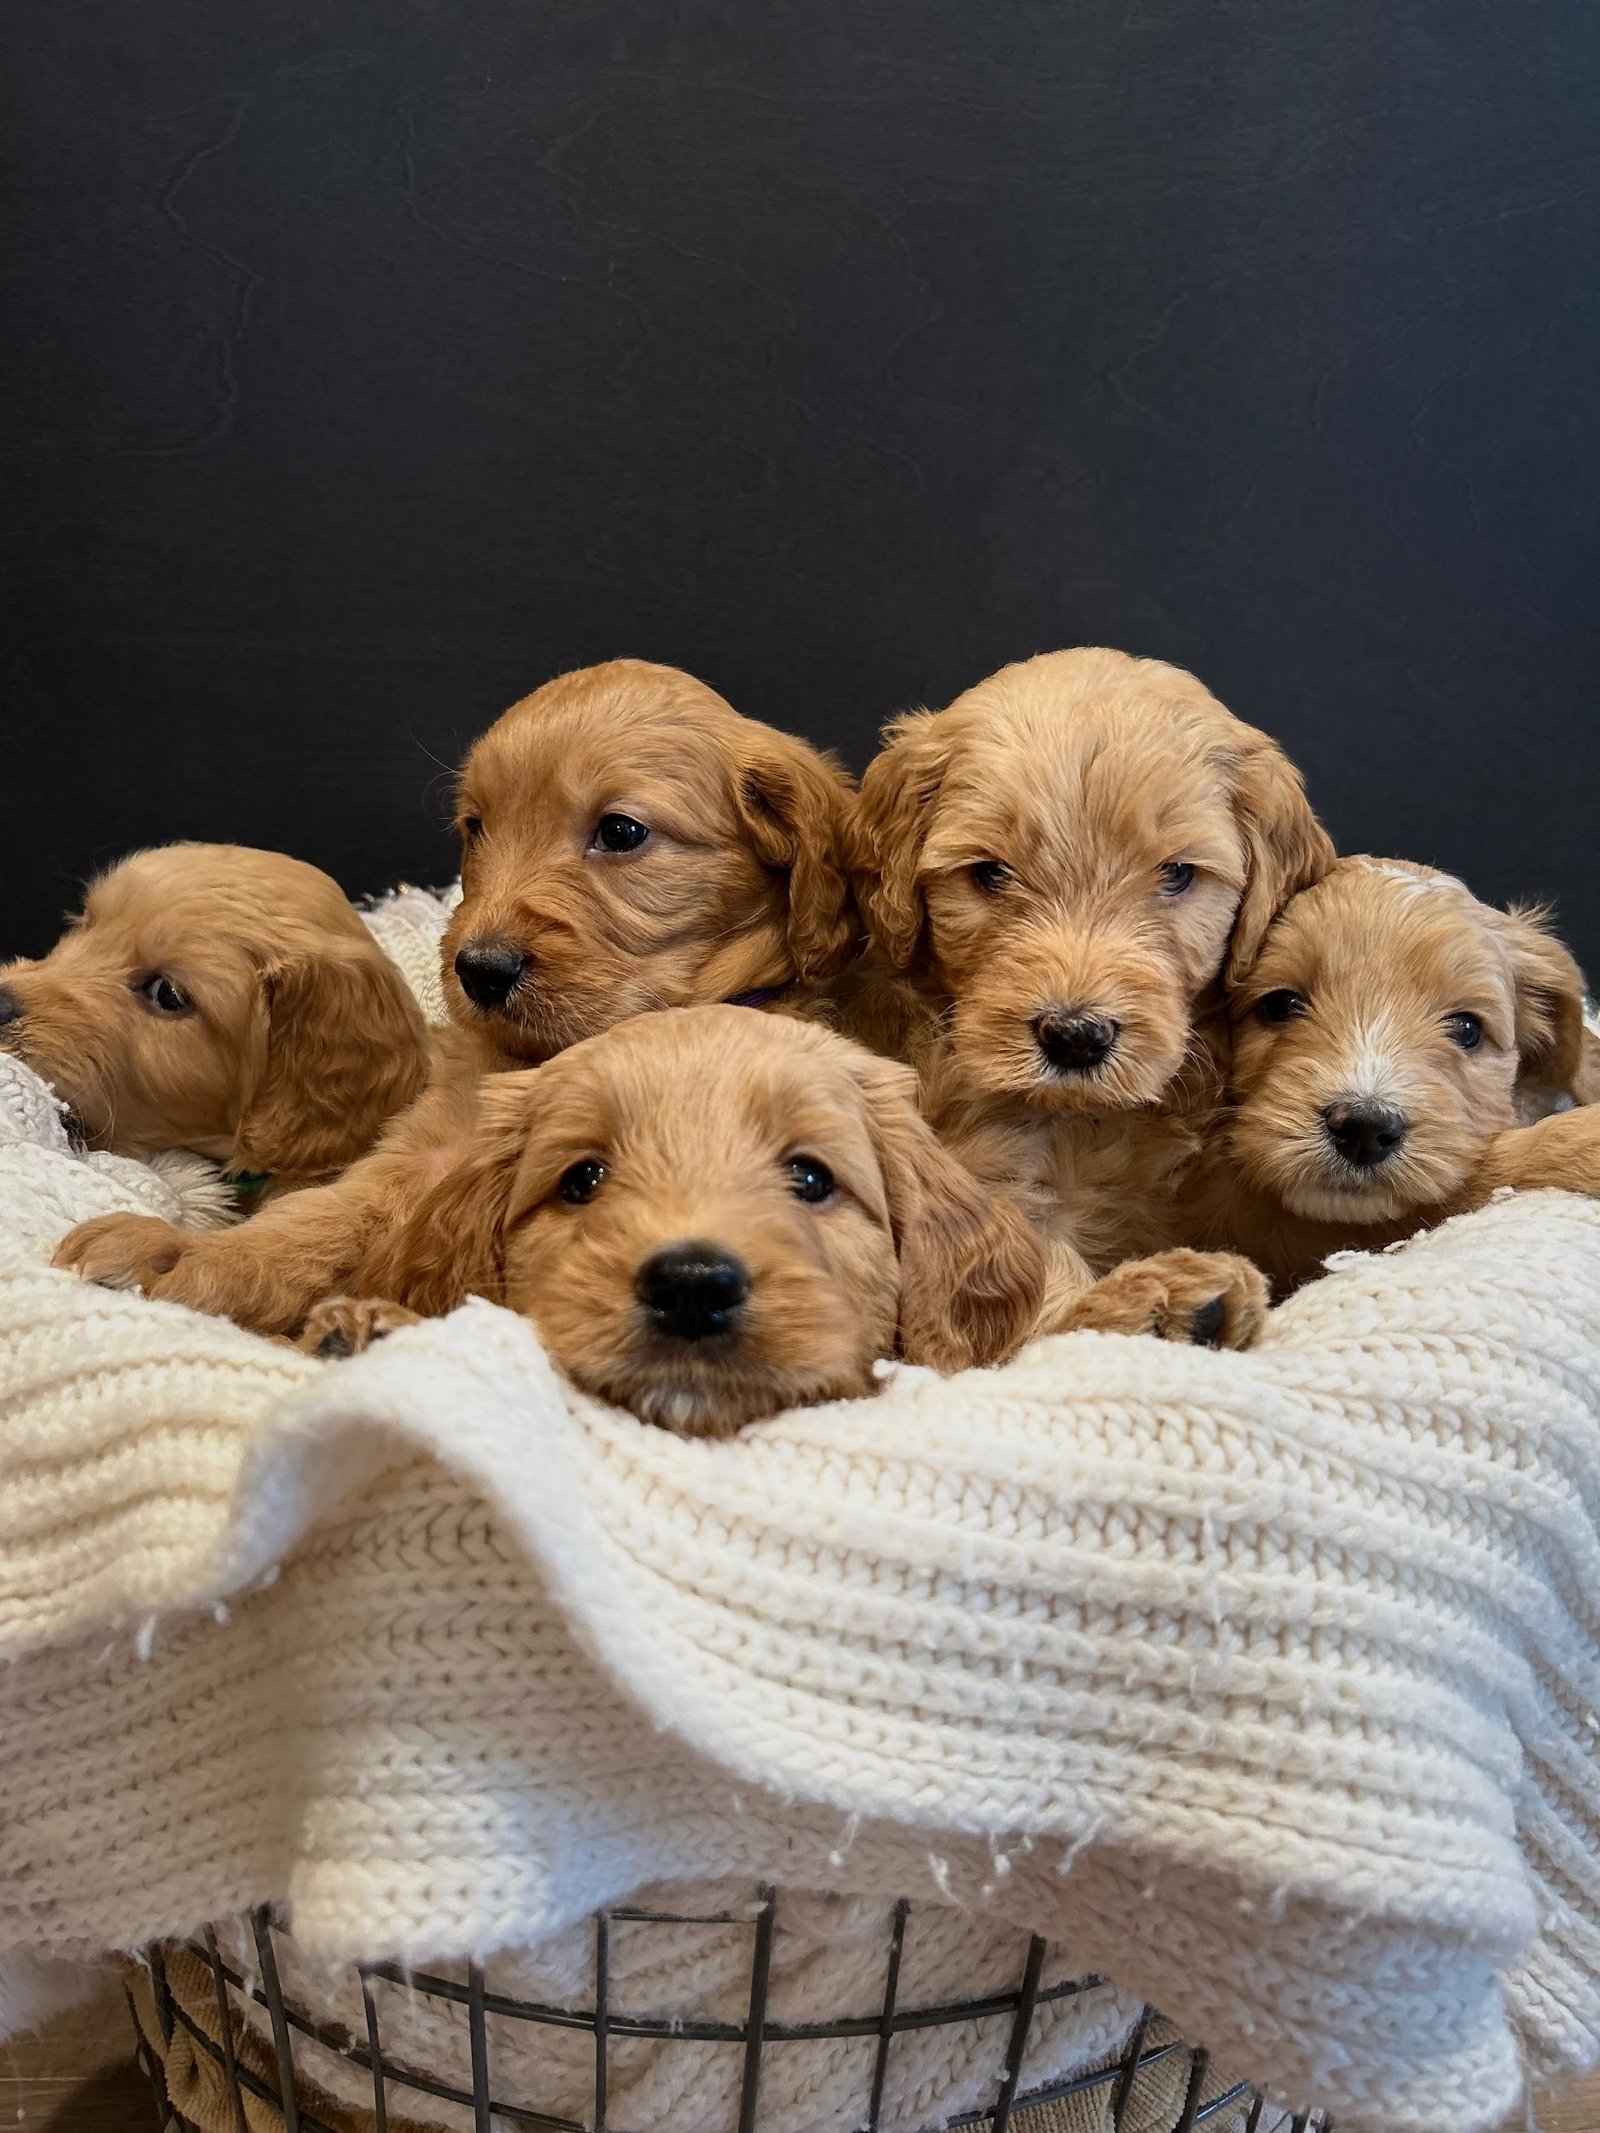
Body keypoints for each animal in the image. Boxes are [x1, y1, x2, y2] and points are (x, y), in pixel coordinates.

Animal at [55, 661, 865, 1333]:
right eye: (476, 827)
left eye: (621, 831)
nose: (480, 969)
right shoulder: (414, 1152)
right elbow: (317, 1218)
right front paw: (179, 1251)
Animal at [852, 646, 1336, 1344]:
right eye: (989, 872)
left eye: (1178, 873)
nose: (1076, 1037)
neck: (1091, 1118)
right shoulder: (978, 1175)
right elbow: (1020, 1280)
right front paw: (1149, 1298)